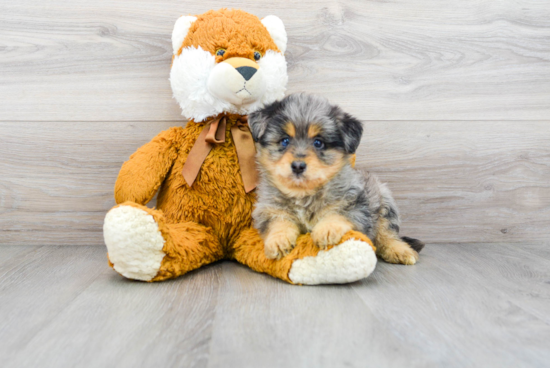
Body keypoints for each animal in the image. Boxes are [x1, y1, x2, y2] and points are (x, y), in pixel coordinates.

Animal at [250, 93, 426, 264]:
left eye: (318, 142)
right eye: (285, 140)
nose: (298, 166)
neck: (304, 194)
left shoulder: (357, 206)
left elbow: (337, 213)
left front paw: (326, 230)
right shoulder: (268, 210)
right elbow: (278, 222)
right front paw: (278, 241)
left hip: (384, 203)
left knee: (387, 234)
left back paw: (400, 251)